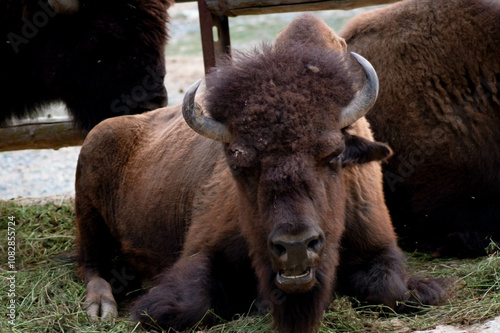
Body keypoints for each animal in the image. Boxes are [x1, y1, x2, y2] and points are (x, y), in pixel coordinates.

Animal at [75, 13, 446, 332]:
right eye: (238, 163)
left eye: (334, 153)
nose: (295, 246)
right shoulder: (201, 249)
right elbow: (185, 305)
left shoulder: (379, 244)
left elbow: (391, 290)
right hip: (87, 206)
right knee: (91, 264)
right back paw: (100, 307)